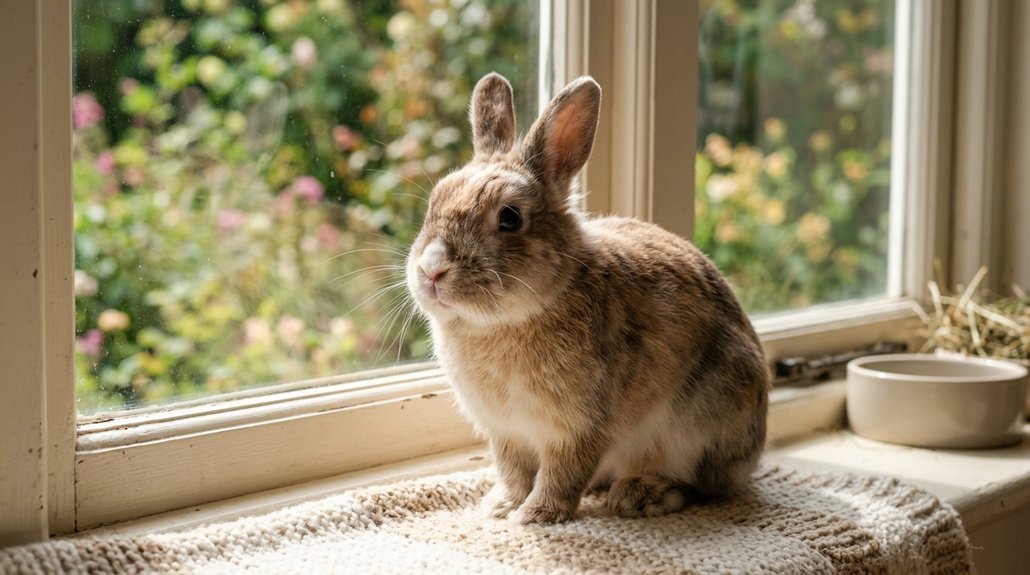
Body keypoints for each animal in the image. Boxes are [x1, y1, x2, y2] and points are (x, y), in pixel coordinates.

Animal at [405, 72, 769, 524]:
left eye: (509, 218)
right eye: (435, 200)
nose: (431, 270)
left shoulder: (578, 428)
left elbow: (562, 473)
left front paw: (536, 515)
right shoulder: (506, 433)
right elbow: (513, 471)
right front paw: (501, 506)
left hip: (700, 425)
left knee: (701, 484)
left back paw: (638, 494)